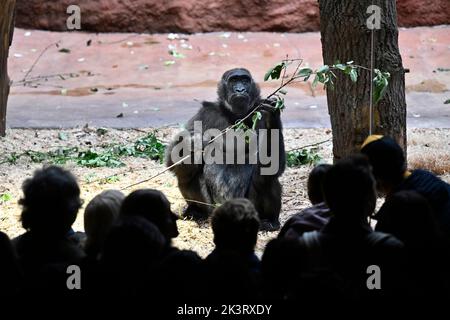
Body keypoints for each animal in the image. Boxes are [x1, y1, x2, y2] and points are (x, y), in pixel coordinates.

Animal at [165, 68, 284, 230]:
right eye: (234, 81)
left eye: (245, 80)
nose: (240, 89)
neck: (235, 115)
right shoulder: (205, 113)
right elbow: (172, 160)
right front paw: (192, 141)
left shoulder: (259, 112)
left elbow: (274, 163)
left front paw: (272, 116)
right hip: (212, 208)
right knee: (185, 173)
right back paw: (196, 211)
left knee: (268, 178)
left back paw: (270, 221)